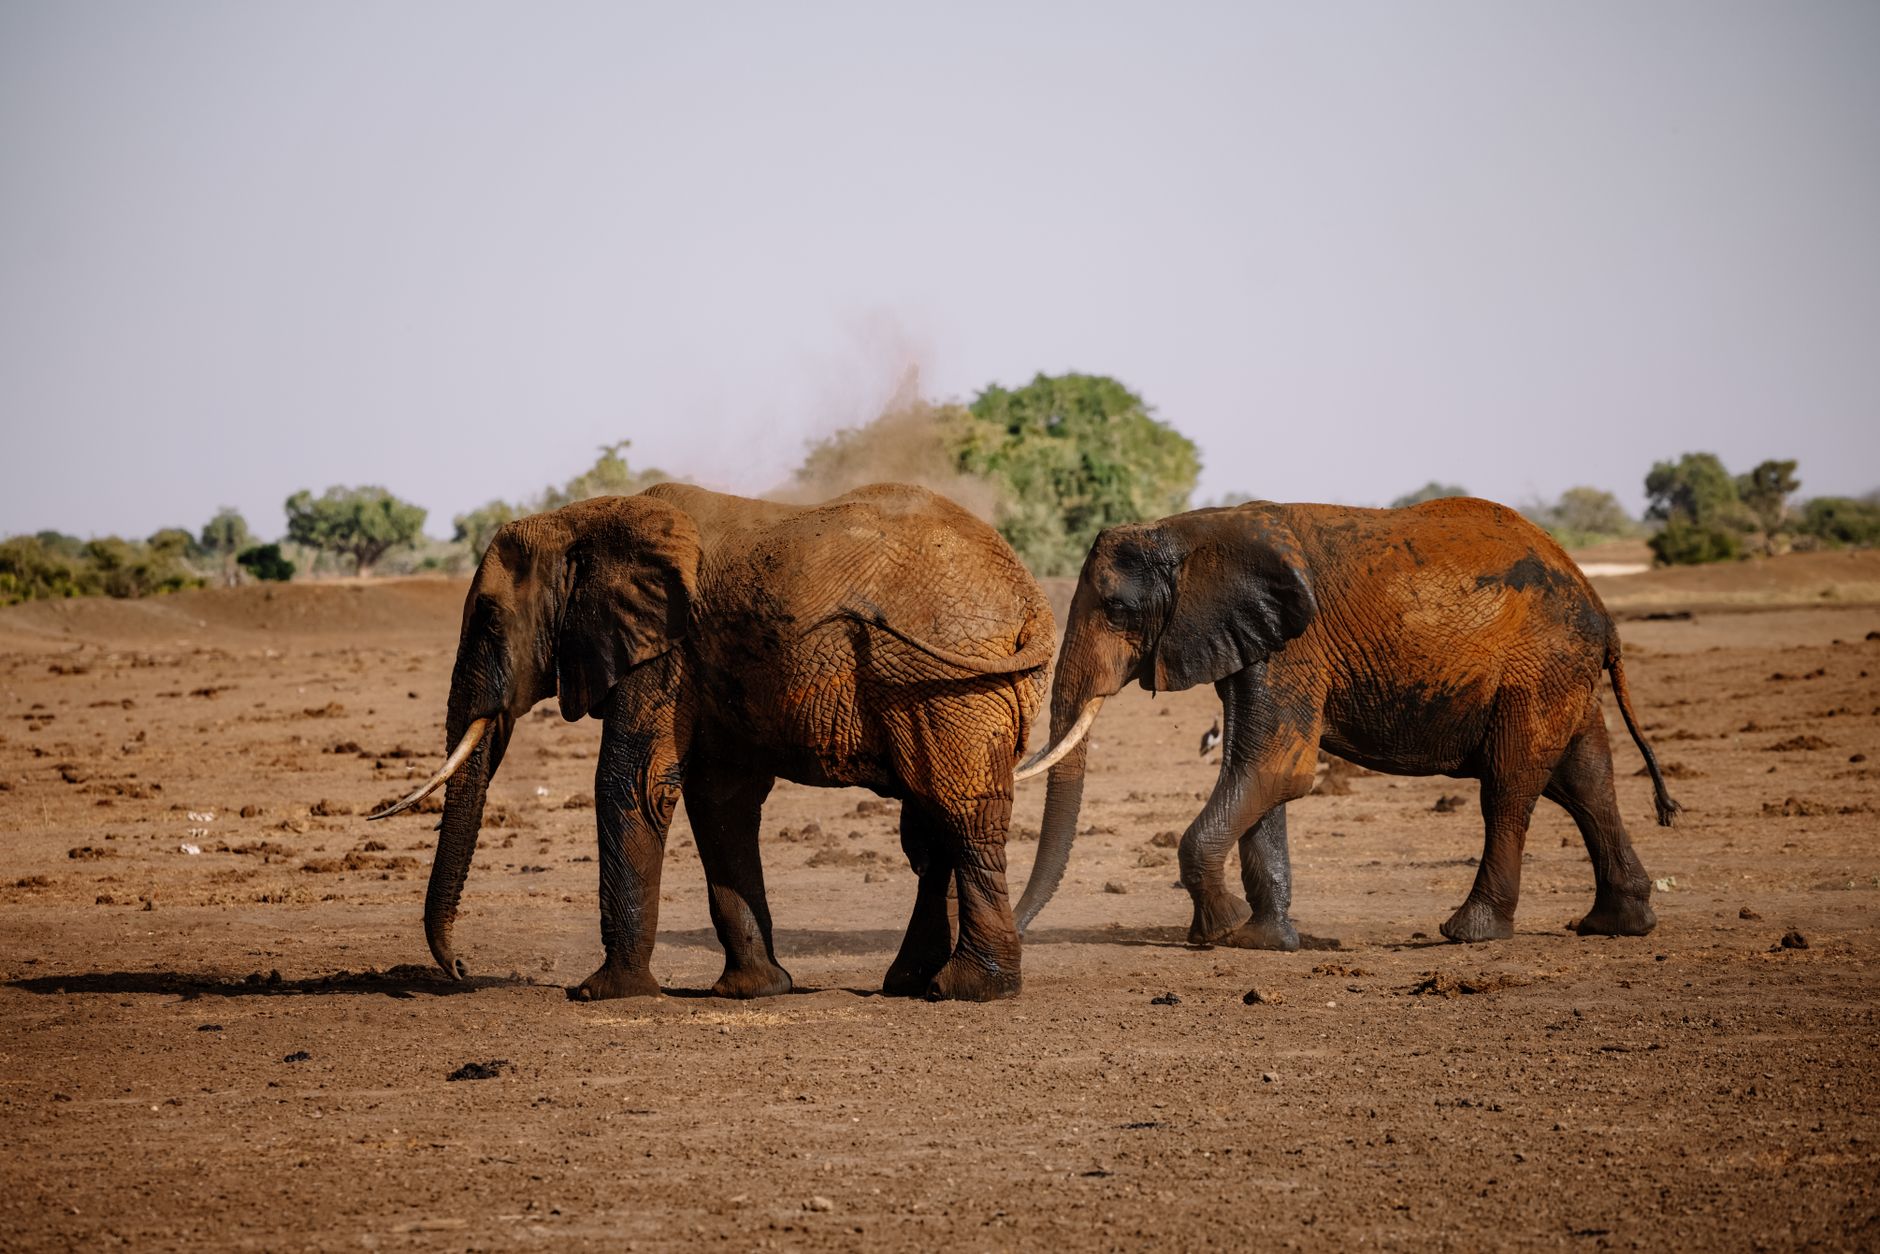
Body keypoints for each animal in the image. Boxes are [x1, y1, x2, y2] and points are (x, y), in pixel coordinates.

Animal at [372, 482, 1054, 1002]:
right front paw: (753, 991)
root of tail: (1032, 602)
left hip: (948, 684)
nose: (461, 970)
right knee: (932, 824)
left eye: (489, 619)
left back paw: (969, 991)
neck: (589, 519)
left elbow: (632, 783)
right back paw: (911, 985)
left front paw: (600, 994)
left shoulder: (665, 653)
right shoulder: (703, 665)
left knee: (961, 815)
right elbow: (720, 804)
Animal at [1008, 496, 1678, 948]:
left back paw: (1468, 932)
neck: (1191, 529)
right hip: (1560, 675)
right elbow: (1265, 776)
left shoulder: (1293, 646)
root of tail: (1601, 609)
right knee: (1587, 781)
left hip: (1537, 670)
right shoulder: (1255, 642)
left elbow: (1273, 771)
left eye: (1117, 608)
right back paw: (1617, 926)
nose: (1014, 930)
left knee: (1509, 789)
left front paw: (1220, 932)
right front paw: (1265, 941)